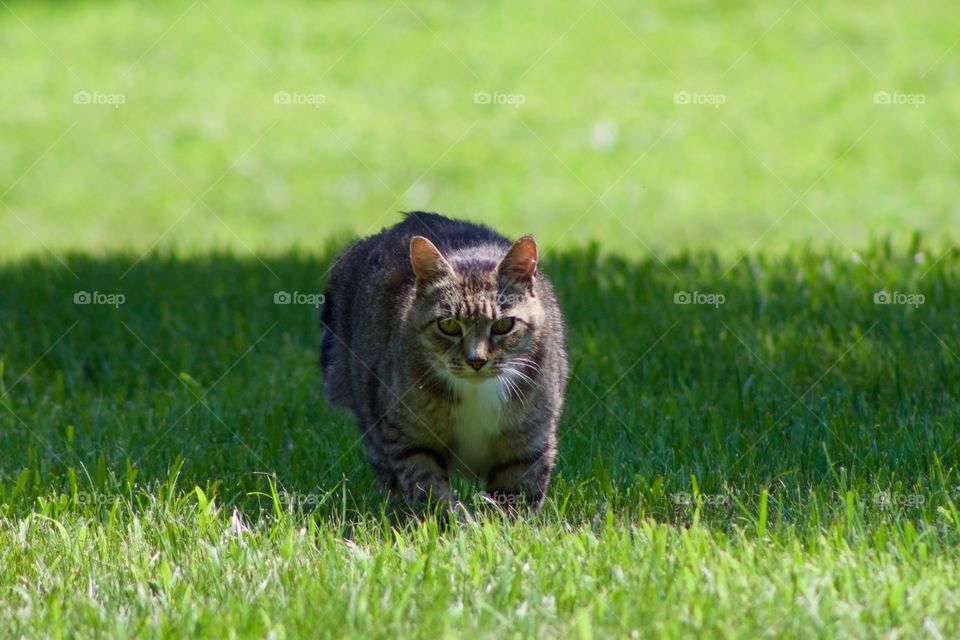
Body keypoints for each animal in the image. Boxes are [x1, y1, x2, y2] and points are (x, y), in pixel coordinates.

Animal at [318, 212, 568, 516]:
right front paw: (447, 521)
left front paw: (509, 526)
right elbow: (429, 488)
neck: (477, 392)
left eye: (503, 325)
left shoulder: (530, 442)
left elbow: (517, 496)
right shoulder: (409, 437)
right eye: (448, 325)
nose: (476, 360)